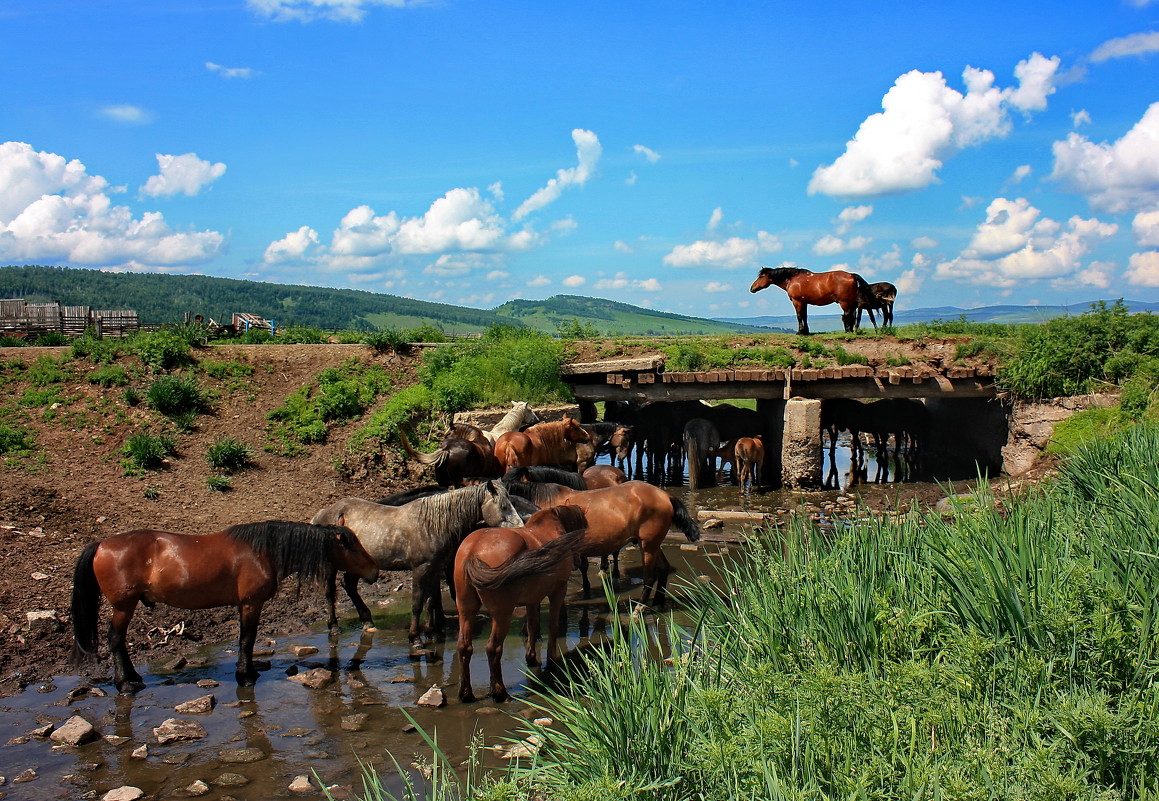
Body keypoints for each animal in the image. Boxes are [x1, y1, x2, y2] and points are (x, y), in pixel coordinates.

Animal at [70, 523, 377, 690]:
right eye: (353, 547)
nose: (374, 571)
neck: (262, 551)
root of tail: (101, 544)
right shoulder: (251, 604)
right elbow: (247, 640)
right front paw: (246, 676)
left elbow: (246, 640)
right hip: (124, 606)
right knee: (115, 639)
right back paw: (125, 683)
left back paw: (132, 677)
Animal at [454, 507, 588, 700]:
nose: (578, 563)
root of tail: (473, 551)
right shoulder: (558, 592)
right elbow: (553, 626)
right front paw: (551, 661)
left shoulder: (532, 599)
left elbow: (532, 627)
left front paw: (532, 658)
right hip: (502, 614)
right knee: (493, 648)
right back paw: (499, 693)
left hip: (466, 611)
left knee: (464, 647)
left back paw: (466, 694)